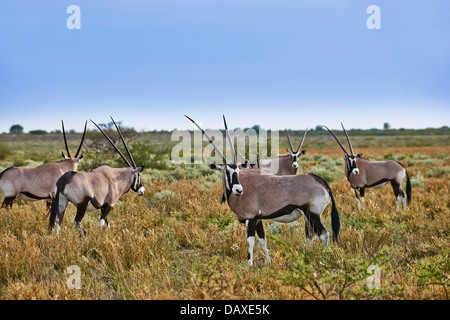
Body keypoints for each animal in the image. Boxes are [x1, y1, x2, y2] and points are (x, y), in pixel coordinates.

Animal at [185, 114, 340, 264]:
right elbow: (263, 240)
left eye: (238, 171)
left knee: (324, 235)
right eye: (227, 172)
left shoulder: (251, 218)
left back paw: (324, 259)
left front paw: (249, 265)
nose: (239, 190)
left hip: (312, 214)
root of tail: (323, 183)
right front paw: (268, 262)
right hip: (309, 216)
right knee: (315, 235)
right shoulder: (258, 220)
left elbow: (251, 241)